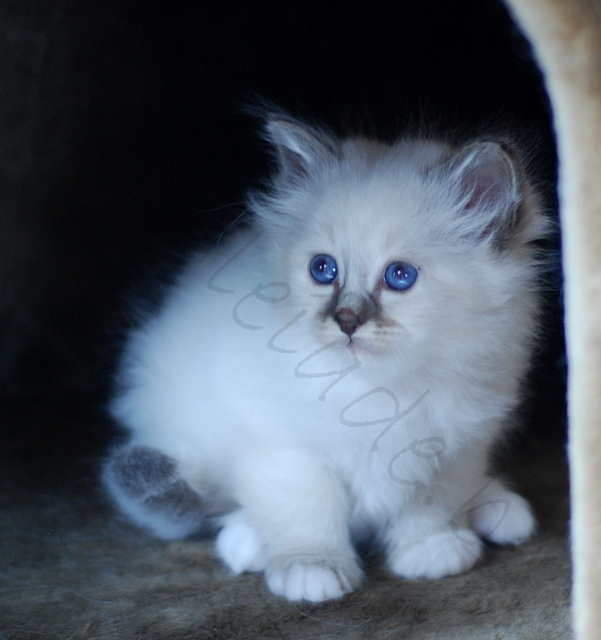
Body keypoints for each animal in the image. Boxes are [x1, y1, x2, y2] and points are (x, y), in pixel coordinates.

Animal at [104, 107, 548, 604]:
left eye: (400, 276)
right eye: (323, 269)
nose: (347, 320)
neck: (382, 386)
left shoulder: (452, 445)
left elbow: (431, 503)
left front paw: (433, 552)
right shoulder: (286, 446)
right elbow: (308, 509)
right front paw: (312, 569)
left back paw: (498, 507)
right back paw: (247, 541)